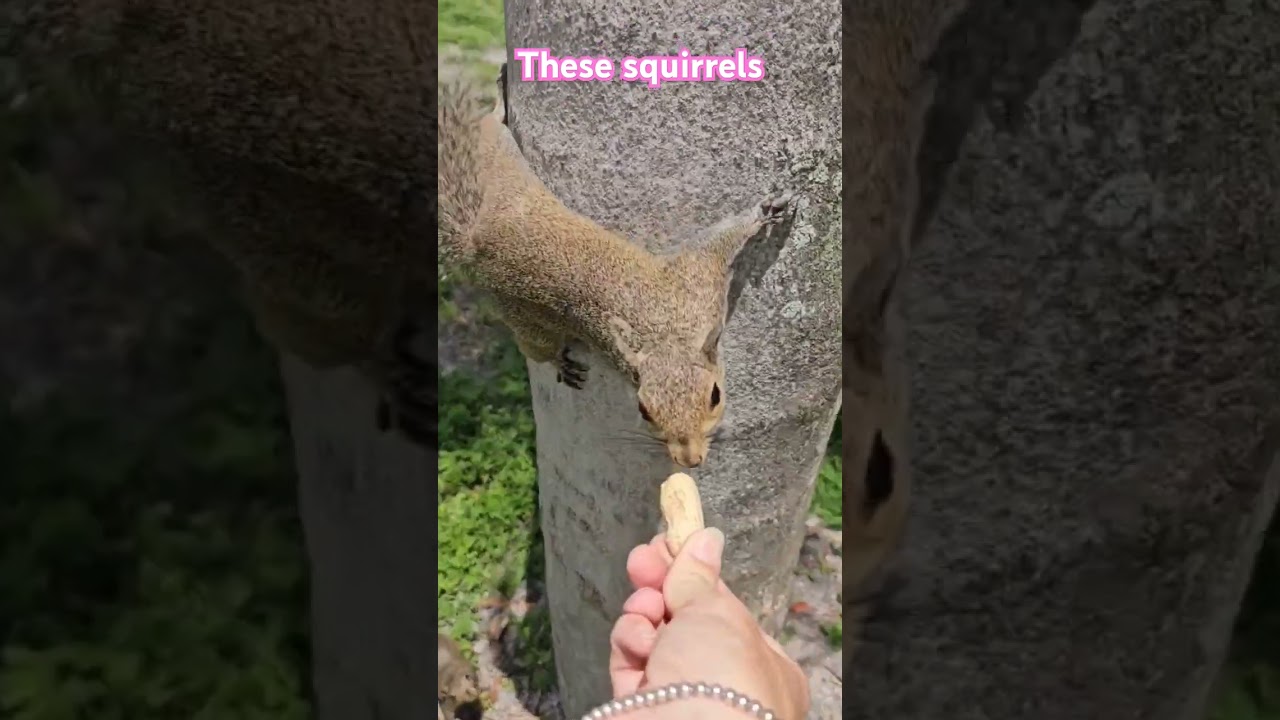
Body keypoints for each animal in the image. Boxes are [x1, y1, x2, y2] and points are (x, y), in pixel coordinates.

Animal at [438, 64, 793, 468]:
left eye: (715, 396)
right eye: (643, 410)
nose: (689, 460)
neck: (666, 333)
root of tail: (476, 243)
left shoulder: (698, 280)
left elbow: (719, 241)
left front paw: (766, 212)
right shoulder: (693, 278)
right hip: (521, 299)